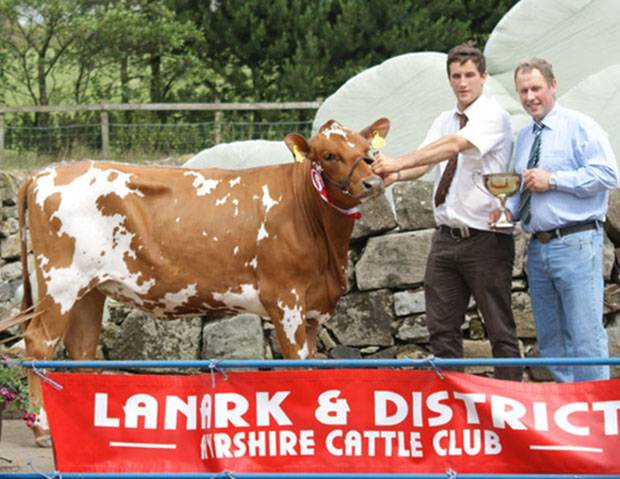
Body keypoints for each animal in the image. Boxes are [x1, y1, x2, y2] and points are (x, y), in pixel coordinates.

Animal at [12, 118, 390, 448]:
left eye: (367, 150)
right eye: (328, 155)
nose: (372, 183)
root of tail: (46, 172)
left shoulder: (312, 307)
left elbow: (311, 363)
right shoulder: (285, 298)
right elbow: (295, 363)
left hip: (90, 289)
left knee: (82, 349)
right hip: (60, 284)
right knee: (40, 342)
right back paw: (44, 429)